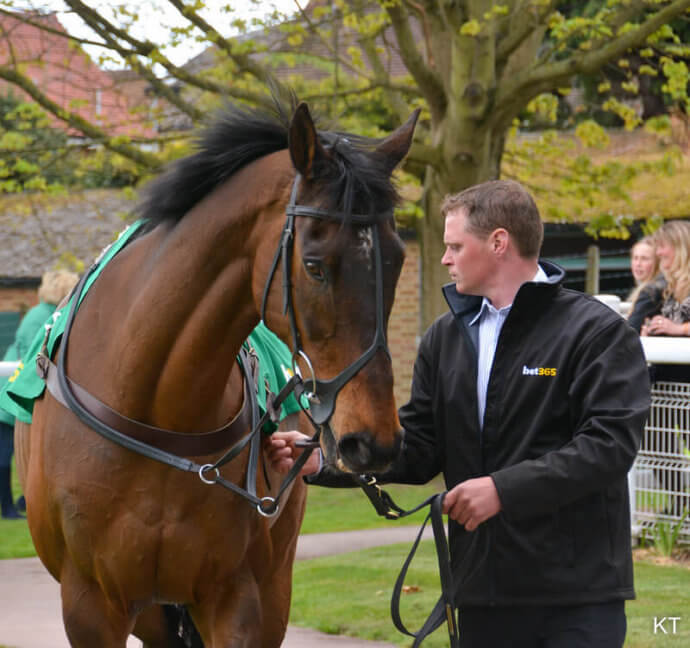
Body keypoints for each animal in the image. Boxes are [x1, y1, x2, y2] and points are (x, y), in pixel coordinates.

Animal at [13, 97, 416, 648]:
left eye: (396, 261)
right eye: (315, 265)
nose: (374, 441)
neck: (159, 416)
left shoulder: (234, 597)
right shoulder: (91, 605)